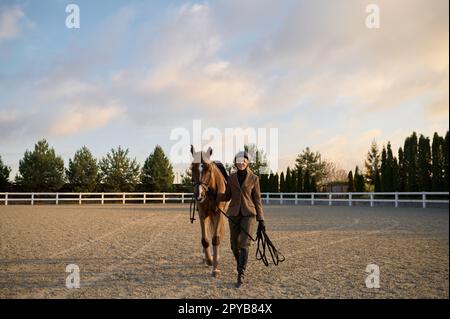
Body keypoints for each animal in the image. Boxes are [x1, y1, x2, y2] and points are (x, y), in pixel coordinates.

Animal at [190, 145, 227, 278]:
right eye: (192, 168)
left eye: (209, 170)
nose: (199, 195)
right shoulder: (202, 215)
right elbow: (204, 240)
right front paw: (209, 260)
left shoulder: (219, 214)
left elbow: (216, 238)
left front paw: (215, 268)